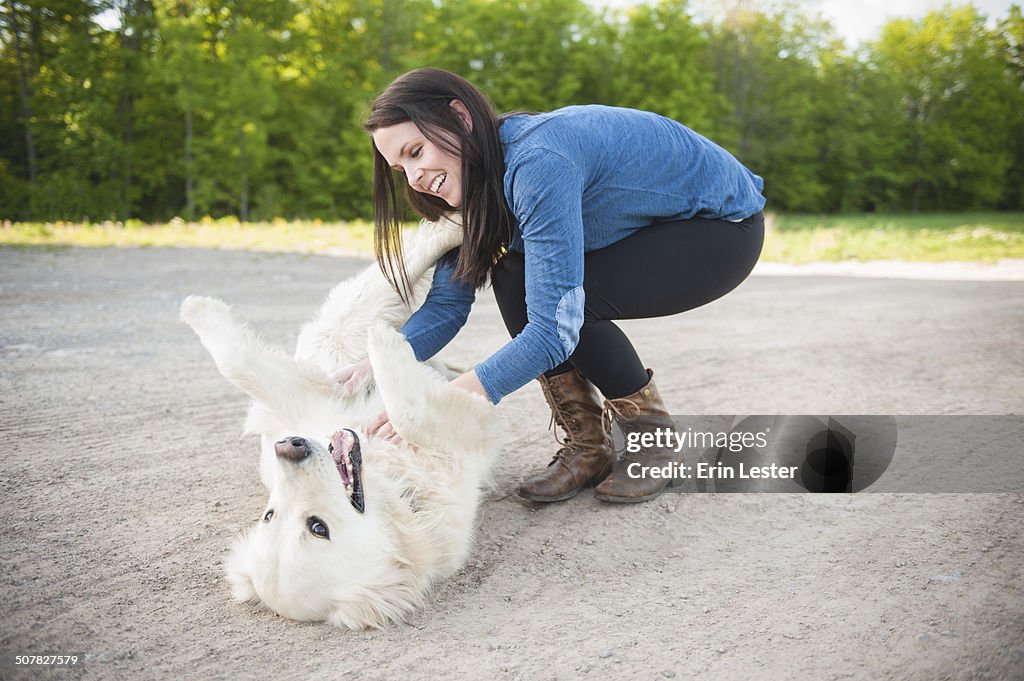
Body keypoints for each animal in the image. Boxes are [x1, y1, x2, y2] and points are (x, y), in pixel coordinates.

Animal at [184, 216, 503, 626]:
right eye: (317, 527)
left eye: (267, 515)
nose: (289, 447)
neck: (399, 490)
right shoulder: (469, 437)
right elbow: (411, 411)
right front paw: (387, 346)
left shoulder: (307, 396)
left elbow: (235, 361)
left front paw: (196, 308)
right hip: (353, 321)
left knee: (404, 265)